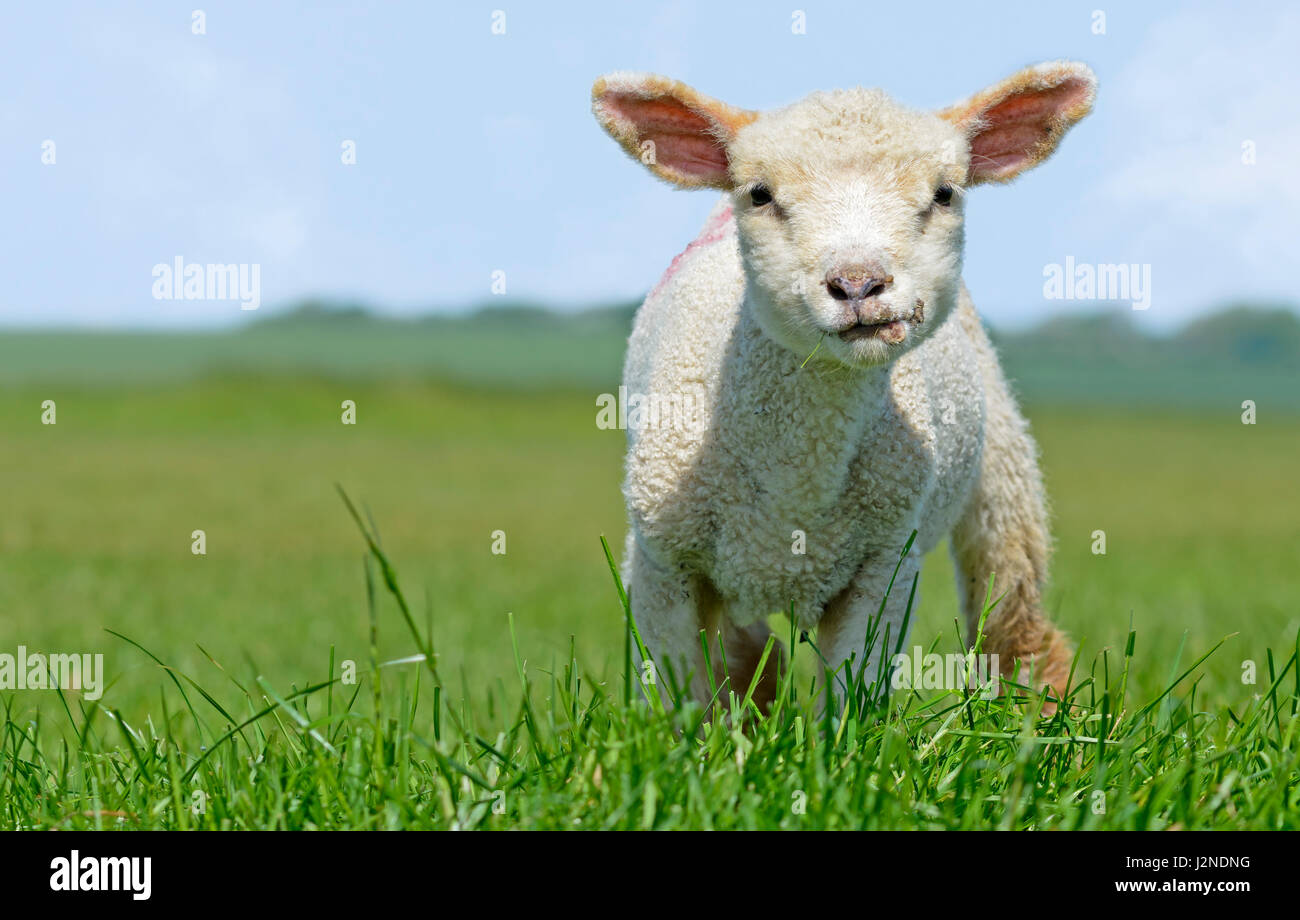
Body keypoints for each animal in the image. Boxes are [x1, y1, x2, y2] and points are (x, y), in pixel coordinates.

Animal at [592, 63, 1097, 712]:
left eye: (945, 193)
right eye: (759, 194)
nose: (858, 283)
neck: (796, 486)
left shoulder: (885, 565)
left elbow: (852, 695)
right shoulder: (662, 563)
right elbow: (681, 699)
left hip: (1003, 461)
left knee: (1015, 614)